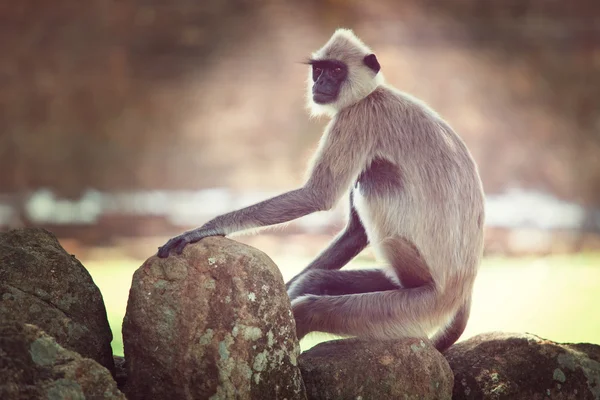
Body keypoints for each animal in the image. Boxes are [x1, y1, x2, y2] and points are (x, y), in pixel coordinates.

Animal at [157, 28, 486, 354]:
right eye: (319, 70)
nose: (321, 83)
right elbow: (355, 231)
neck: (374, 94)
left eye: (336, 71)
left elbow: (317, 195)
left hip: (417, 306)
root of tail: (463, 289)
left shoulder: (358, 117)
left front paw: (207, 228)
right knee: (316, 278)